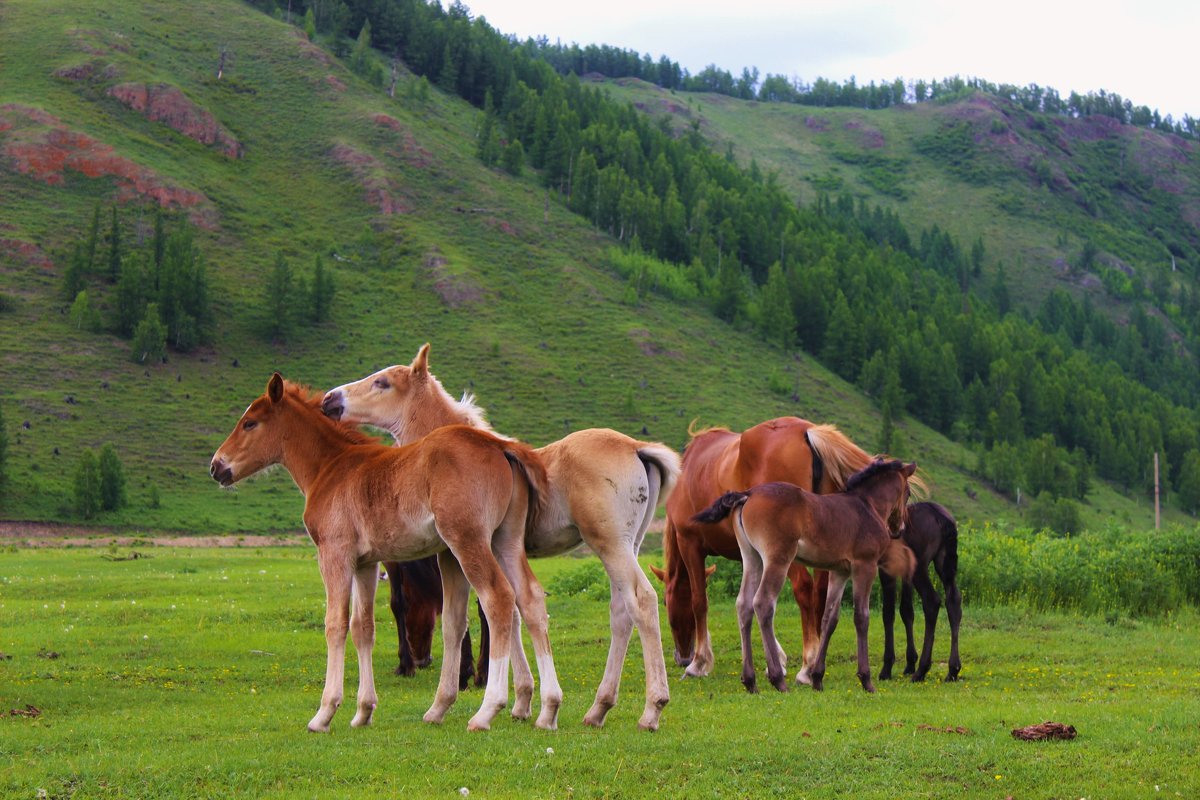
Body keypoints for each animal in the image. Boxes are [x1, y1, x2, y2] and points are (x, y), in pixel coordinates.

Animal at [207, 374, 561, 734]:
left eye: (249, 423)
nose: (216, 466)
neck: (330, 467)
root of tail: (499, 445)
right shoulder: (366, 563)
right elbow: (363, 627)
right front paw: (363, 711)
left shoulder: (334, 554)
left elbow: (335, 624)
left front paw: (325, 712)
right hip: (505, 541)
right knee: (528, 598)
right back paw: (545, 709)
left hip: (468, 541)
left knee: (498, 599)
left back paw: (487, 710)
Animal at [324, 345, 681, 734]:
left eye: (382, 382)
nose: (330, 399)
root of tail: (637, 448)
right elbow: (516, 613)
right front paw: (523, 701)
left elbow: (493, 611)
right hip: (628, 545)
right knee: (620, 611)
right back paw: (598, 708)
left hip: (610, 544)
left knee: (642, 600)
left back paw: (652, 708)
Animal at [657, 417, 873, 686]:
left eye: (666, 602)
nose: (682, 657)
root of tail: (808, 432)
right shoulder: (752, 555)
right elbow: (752, 601)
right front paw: (777, 658)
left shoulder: (690, 544)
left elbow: (700, 601)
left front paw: (699, 663)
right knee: (821, 594)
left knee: (804, 589)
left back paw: (807, 666)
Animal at [696, 462, 916, 695]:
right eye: (908, 493)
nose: (899, 529)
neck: (868, 506)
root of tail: (748, 494)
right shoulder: (865, 565)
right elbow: (861, 617)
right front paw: (866, 680)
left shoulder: (840, 572)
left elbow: (830, 618)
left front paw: (817, 678)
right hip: (778, 559)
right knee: (763, 603)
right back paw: (777, 679)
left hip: (751, 558)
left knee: (744, 605)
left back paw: (750, 681)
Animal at [883, 501, 964, 681]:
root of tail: (940, 517)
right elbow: (906, 611)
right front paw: (909, 663)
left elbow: (888, 613)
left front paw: (886, 668)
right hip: (943, 562)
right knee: (953, 601)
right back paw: (952, 669)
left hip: (920, 566)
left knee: (932, 601)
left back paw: (922, 670)